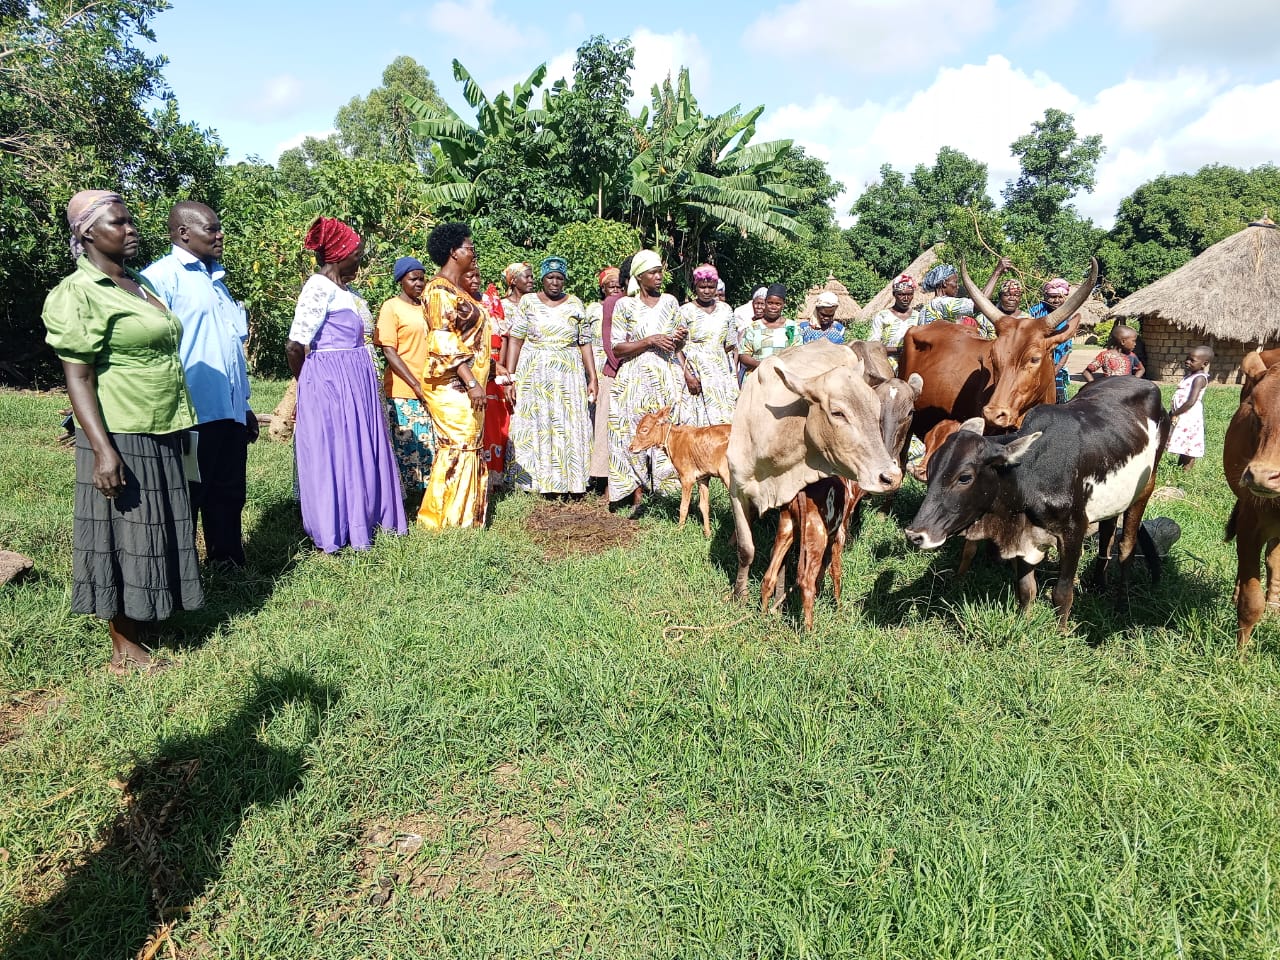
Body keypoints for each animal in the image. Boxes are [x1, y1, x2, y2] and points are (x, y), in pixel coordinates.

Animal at [629, 407, 732, 537]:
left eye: (644, 429)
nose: (631, 447)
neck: (674, 440)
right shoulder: (703, 476)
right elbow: (704, 506)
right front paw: (708, 534)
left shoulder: (687, 477)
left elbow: (683, 506)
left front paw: (678, 531)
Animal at [732, 343, 901, 601]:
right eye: (838, 413)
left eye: (876, 410)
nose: (891, 477)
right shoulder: (736, 488)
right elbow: (746, 548)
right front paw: (739, 596)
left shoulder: (789, 495)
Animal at [901, 376, 1172, 632]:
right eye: (931, 470)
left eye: (964, 477)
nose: (915, 535)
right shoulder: (1024, 537)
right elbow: (1026, 589)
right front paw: (1025, 622)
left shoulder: (1073, 532)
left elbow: (1061, 594)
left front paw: (1061, 634)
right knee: (1107, 535)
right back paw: (1098, 585)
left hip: (1145, 487)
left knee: (1126, 546)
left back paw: (1121, 605)